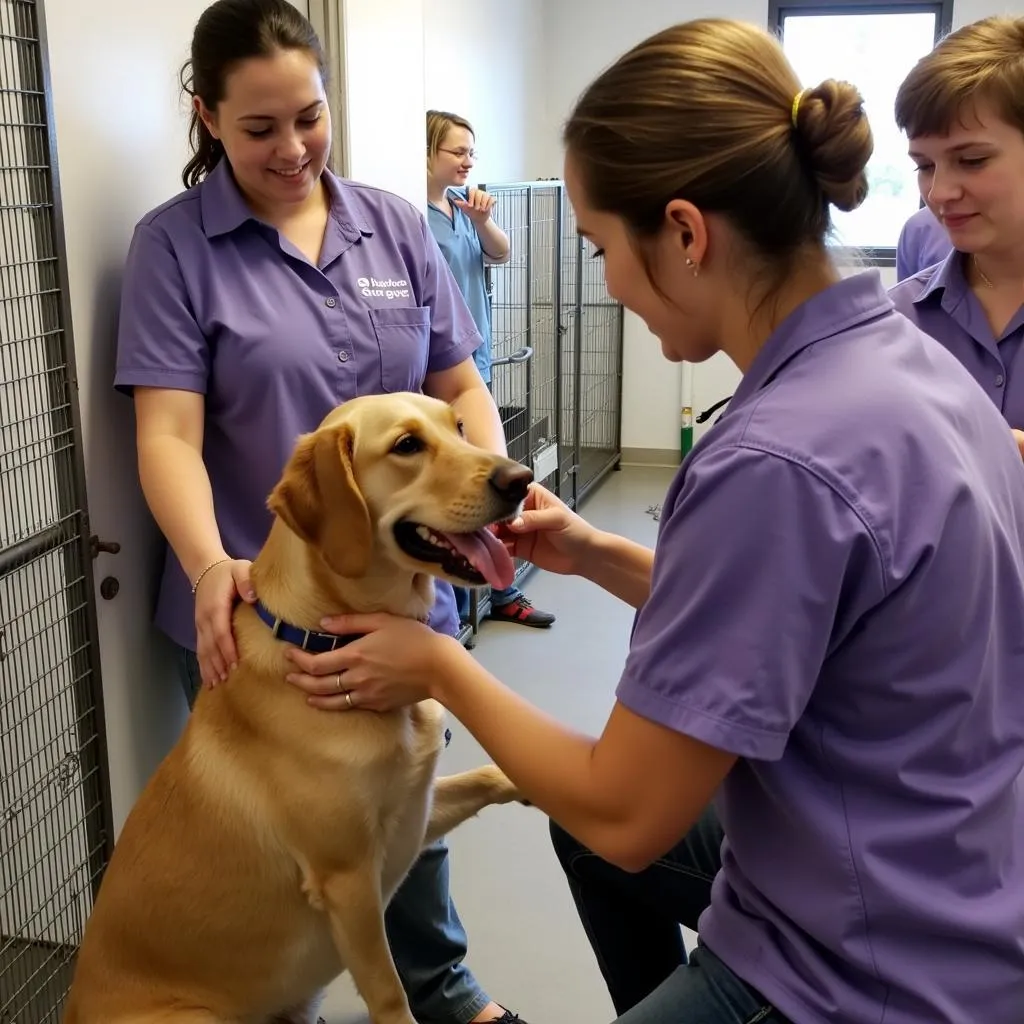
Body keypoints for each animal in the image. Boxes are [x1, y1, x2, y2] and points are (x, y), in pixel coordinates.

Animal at [61, 391, 536, 1024]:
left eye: (458, 425)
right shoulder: (348, 878)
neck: (327, 640)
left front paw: (531, 780)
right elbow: (390, 991)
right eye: (407, 445)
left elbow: (483, 775)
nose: (521, 479)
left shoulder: (415, 811)